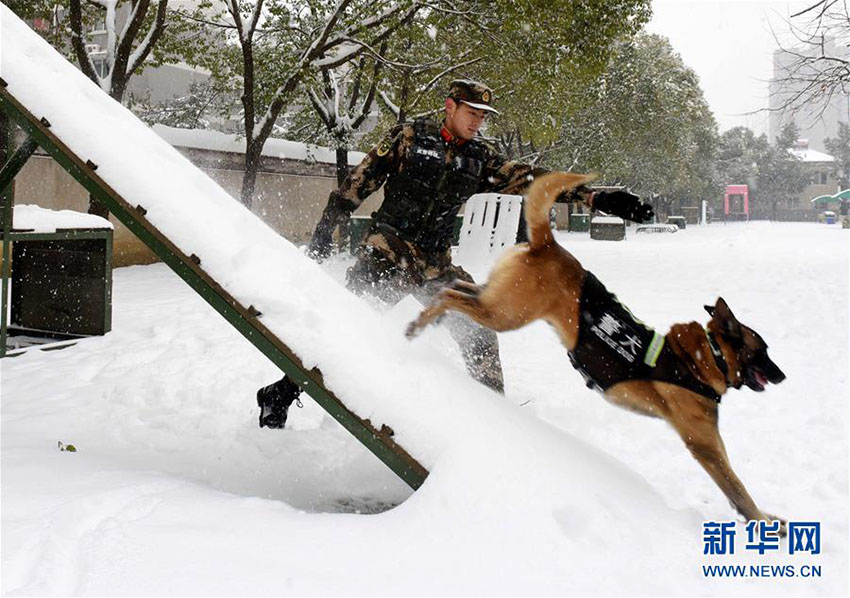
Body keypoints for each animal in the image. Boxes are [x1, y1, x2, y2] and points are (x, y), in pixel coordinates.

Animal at [408, 172, 784, 528]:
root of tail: (548, 244)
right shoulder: (705, 444)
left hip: (496, 299)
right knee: (451, 296)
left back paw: (432, 315)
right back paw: (419, 323)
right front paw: (763, 520)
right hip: (506, 313)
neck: (705, 357)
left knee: (456, 287)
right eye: (763, 351)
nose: (783, 376)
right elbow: (737, 487)